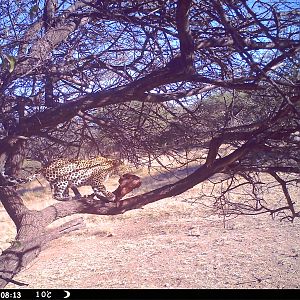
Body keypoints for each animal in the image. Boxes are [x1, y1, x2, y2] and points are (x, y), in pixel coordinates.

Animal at [1, 157, 130, 202]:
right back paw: (70, 198)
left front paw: (104, 197)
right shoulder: (97, 181)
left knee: (62, 193)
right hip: (61, 181)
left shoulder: (95, 184)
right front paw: (111, 196)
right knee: (55, 196)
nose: (127, 171)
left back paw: (76, 196)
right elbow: (103, 189)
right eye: (124, 167)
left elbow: (98, 191)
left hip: (65, 183)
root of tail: (44, 166)